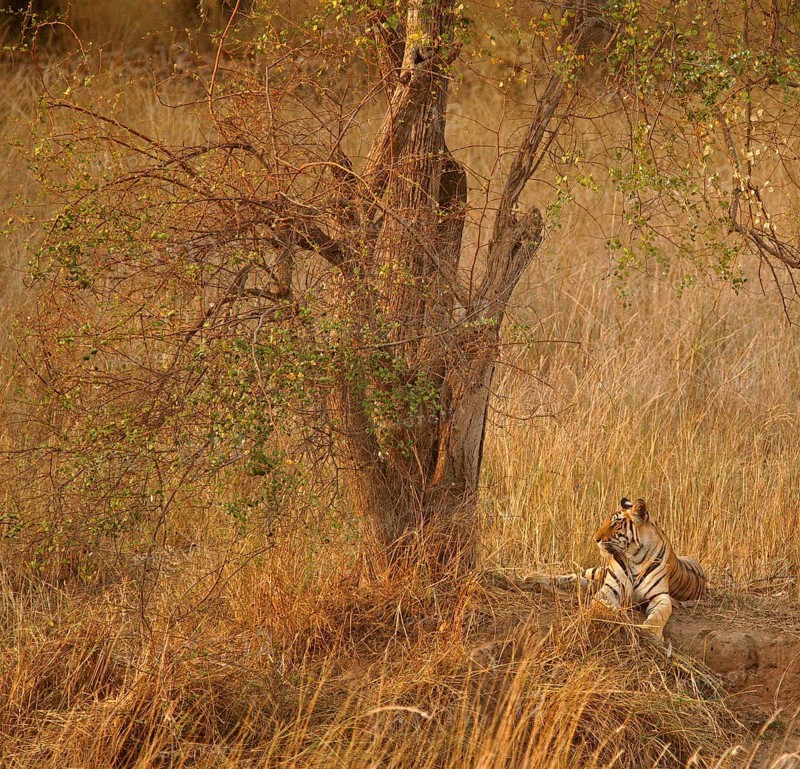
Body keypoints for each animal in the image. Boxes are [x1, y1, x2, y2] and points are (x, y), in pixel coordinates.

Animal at [525, 497, 706, 640]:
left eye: (615, 524)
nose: (595, 539)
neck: (636, 557)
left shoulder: (660, 597)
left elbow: (659, 616)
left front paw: (650, 633)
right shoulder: (609, 589)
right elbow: (604, 604)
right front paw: (617, 613)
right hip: (598, 571)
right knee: (572, 575)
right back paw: (532, 577)